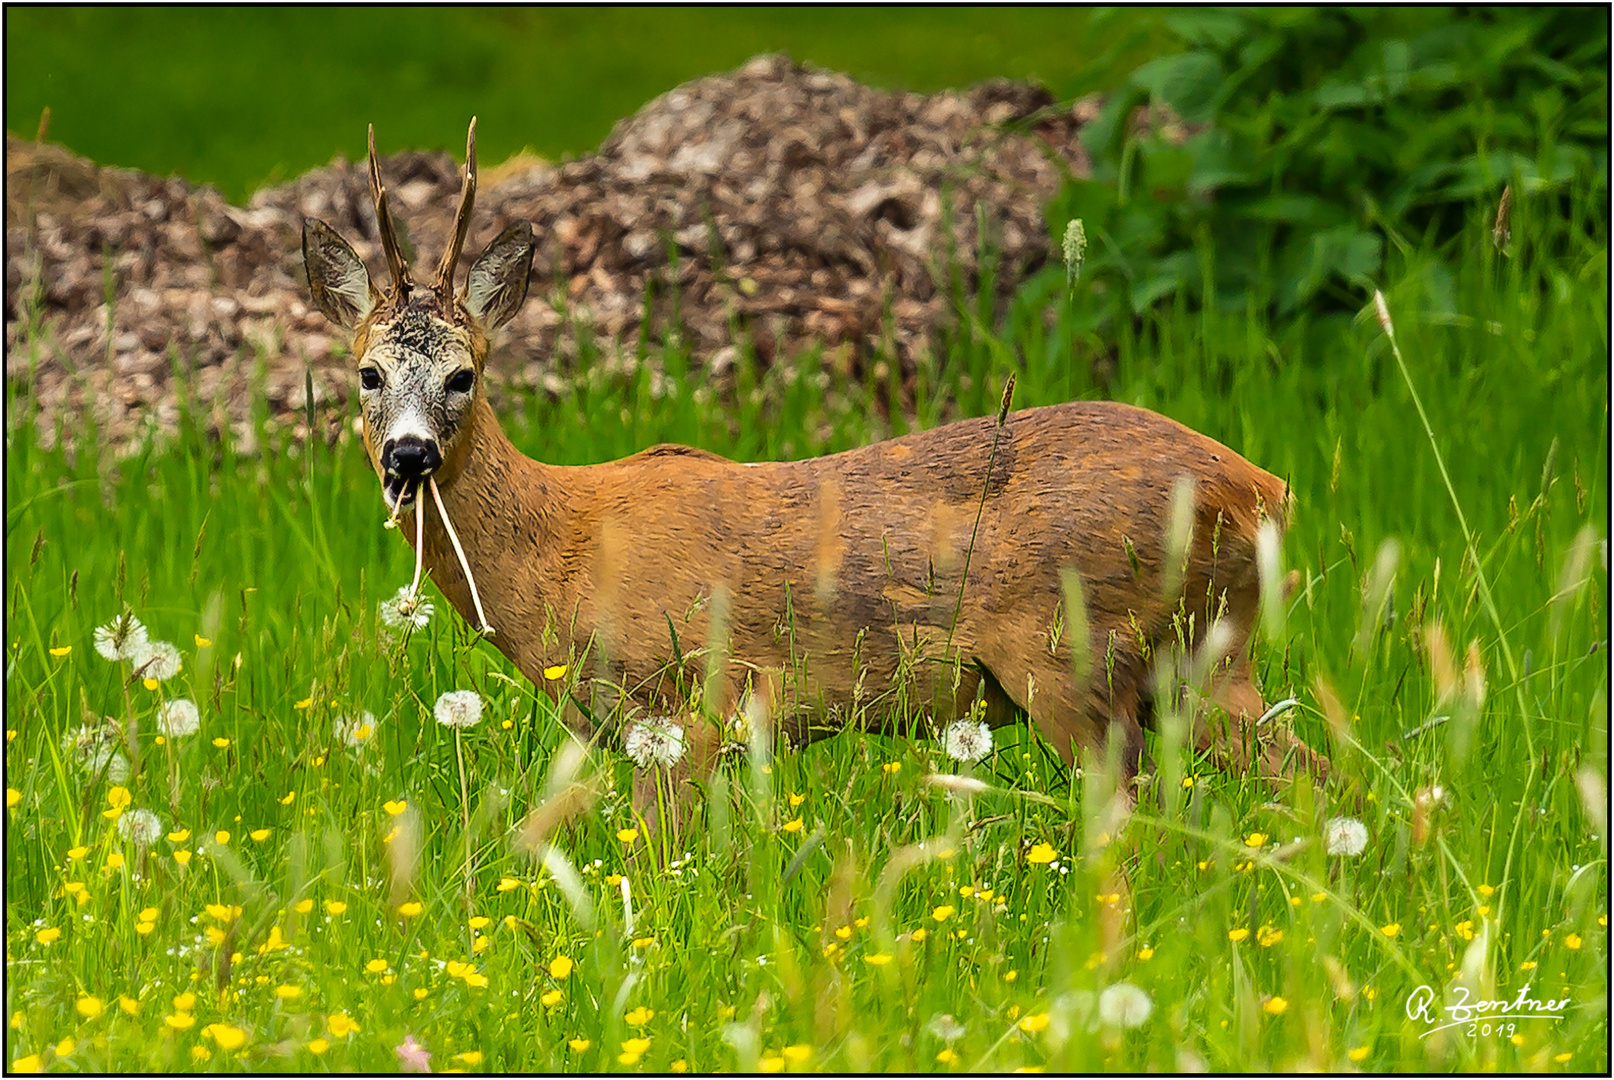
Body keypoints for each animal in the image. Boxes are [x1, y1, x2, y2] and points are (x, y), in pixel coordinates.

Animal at [300, 117, 1323, 826]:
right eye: (368, 372)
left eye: (464, 373)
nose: (409, 455)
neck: (563, 546)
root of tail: (1263, 488)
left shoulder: (685, 702)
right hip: (1201, 656)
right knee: (1313, 776)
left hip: (1074, 657)